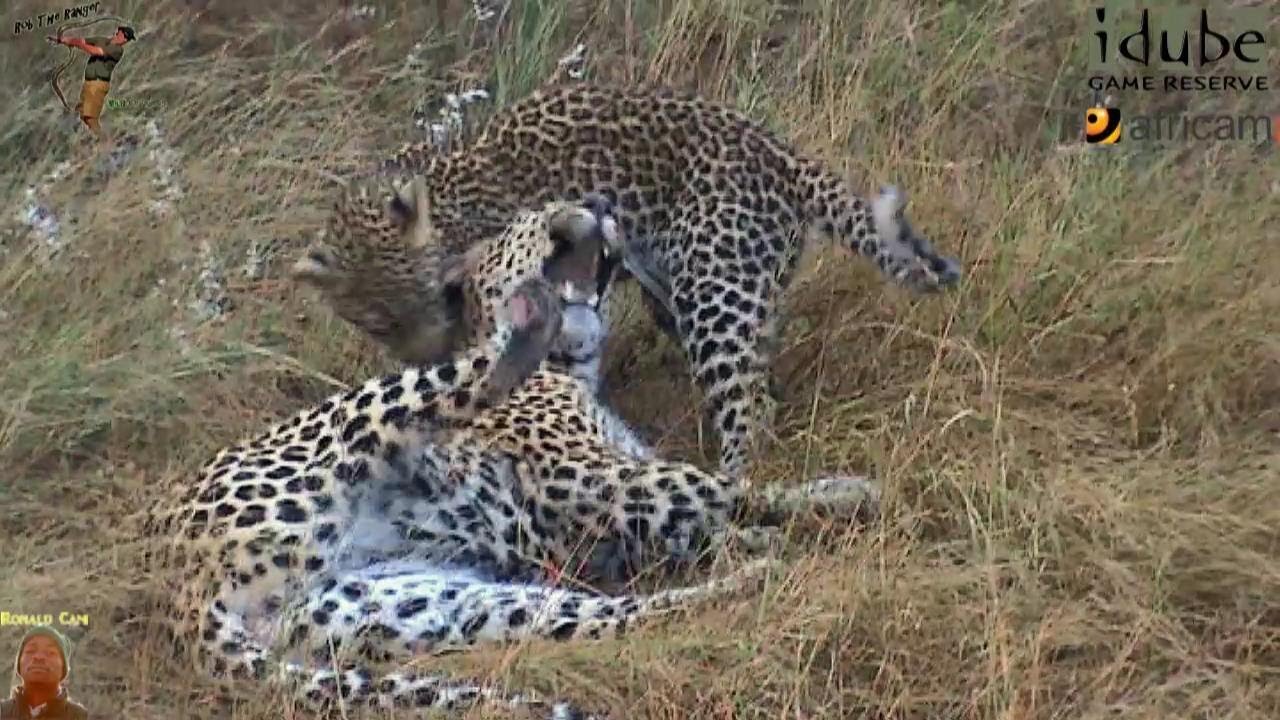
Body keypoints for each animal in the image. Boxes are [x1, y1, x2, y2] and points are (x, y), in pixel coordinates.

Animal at [371, 81, 962, 479]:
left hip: (713, 292)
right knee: (762, 393)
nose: (598, 201)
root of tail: (784, 157)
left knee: (749, 407)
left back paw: (733, 479)